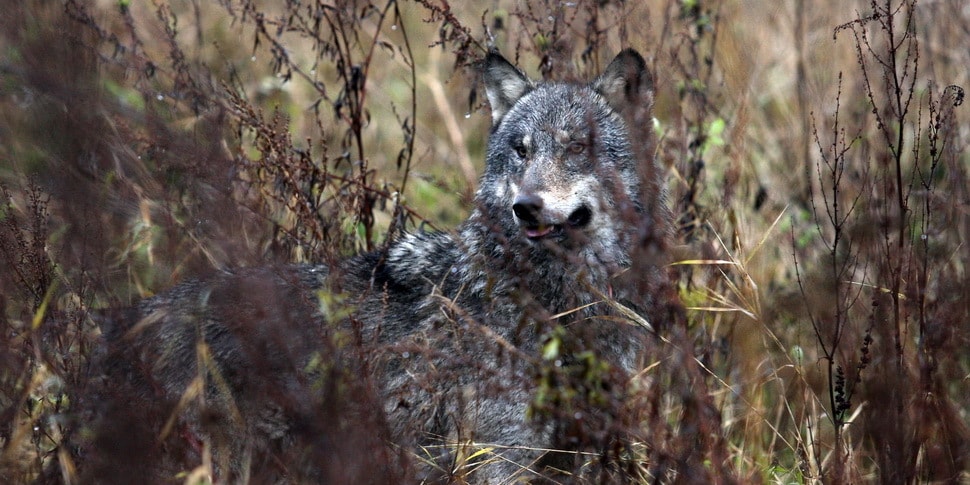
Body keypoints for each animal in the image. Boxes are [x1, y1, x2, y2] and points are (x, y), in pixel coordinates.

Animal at [89, 47, 664, 482]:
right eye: (521, 151)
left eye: (577, 148)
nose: (526, 206)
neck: (559, 305)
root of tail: (114, 330)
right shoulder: (499, 463)